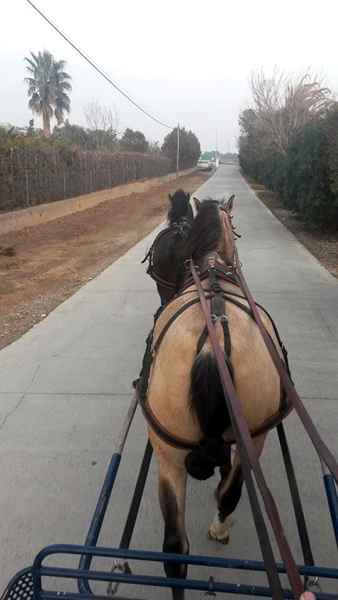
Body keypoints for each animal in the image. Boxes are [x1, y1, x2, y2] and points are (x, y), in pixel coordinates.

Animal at [135, 196, 290, 596]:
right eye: (235, 227)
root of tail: (212, 346)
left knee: (176, 550)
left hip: (170, 453)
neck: (213, 268)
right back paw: (219, 527)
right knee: (227, 495)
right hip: (252, 437)